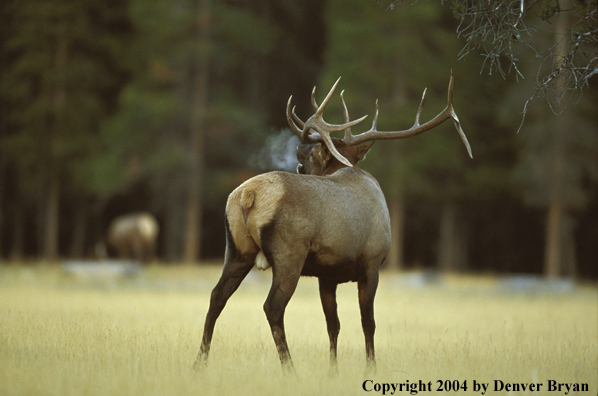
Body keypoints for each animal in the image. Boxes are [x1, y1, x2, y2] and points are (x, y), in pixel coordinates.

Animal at [197, 73, 474, 372]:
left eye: (309, 155)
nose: (298, 152)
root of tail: (248, 195)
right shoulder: (372, 263)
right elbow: (368, 322)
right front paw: (371, 367)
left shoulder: (326, 274)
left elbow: (333, 324)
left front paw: (333, 370)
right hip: (289, 253)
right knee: (273, 307)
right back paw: (290, 370)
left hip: (237, 249)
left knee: (216, 296)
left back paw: (199, 362)